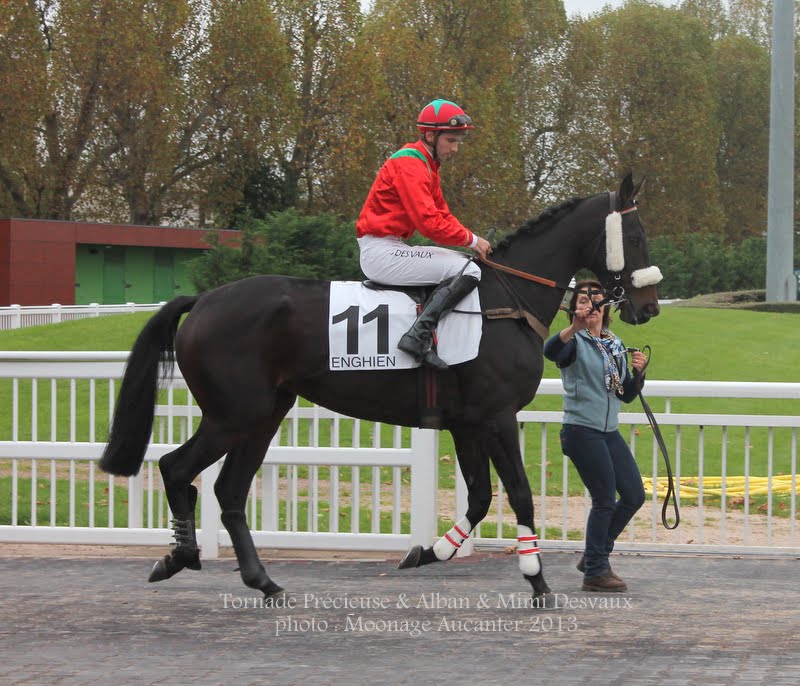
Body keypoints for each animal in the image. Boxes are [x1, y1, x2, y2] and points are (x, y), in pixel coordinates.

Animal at [100, 173, 664, 608]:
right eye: (637, 235)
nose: (650, 307)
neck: (502, 302)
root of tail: (202, 300)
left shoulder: (467, 422)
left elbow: (480, 496)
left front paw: (429, 552)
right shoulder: (497, 417)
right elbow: (519, 495)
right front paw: (537, 580)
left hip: (262, 416)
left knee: (229, 492)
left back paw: (262, 581)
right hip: (233, 416)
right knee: (177, 468)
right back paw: (180, 556)